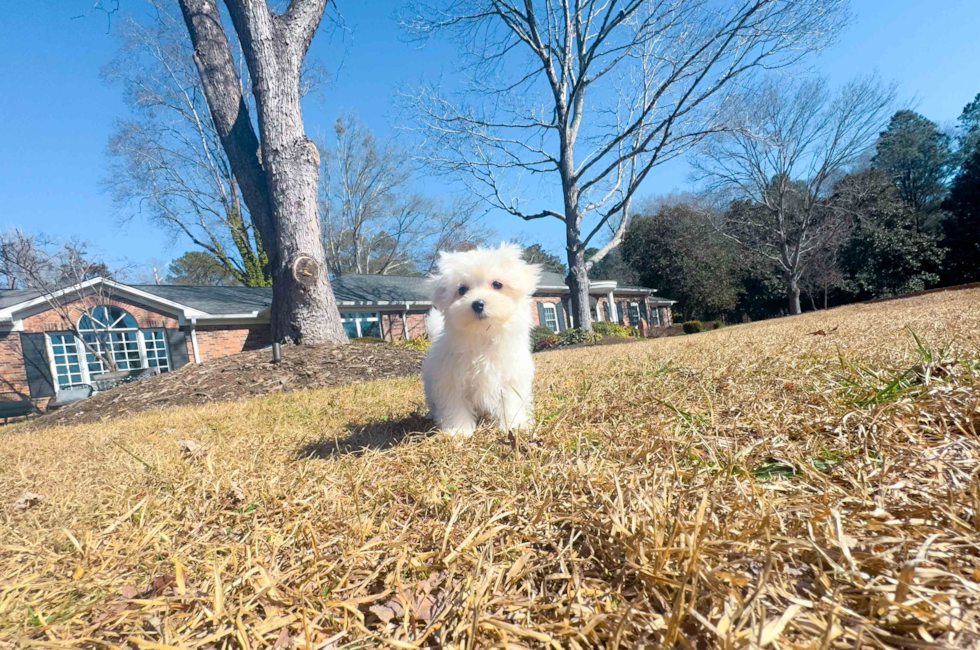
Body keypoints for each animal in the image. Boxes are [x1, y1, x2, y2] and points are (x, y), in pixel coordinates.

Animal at [422, 243, 544, 436]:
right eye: (462, 290)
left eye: (497, 284)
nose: (477, 304)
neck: (483, 336)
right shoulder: (450, 380)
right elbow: (455, 405)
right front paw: (459, 430)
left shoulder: (511, 377)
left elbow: (511, 401)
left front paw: (513, 424)